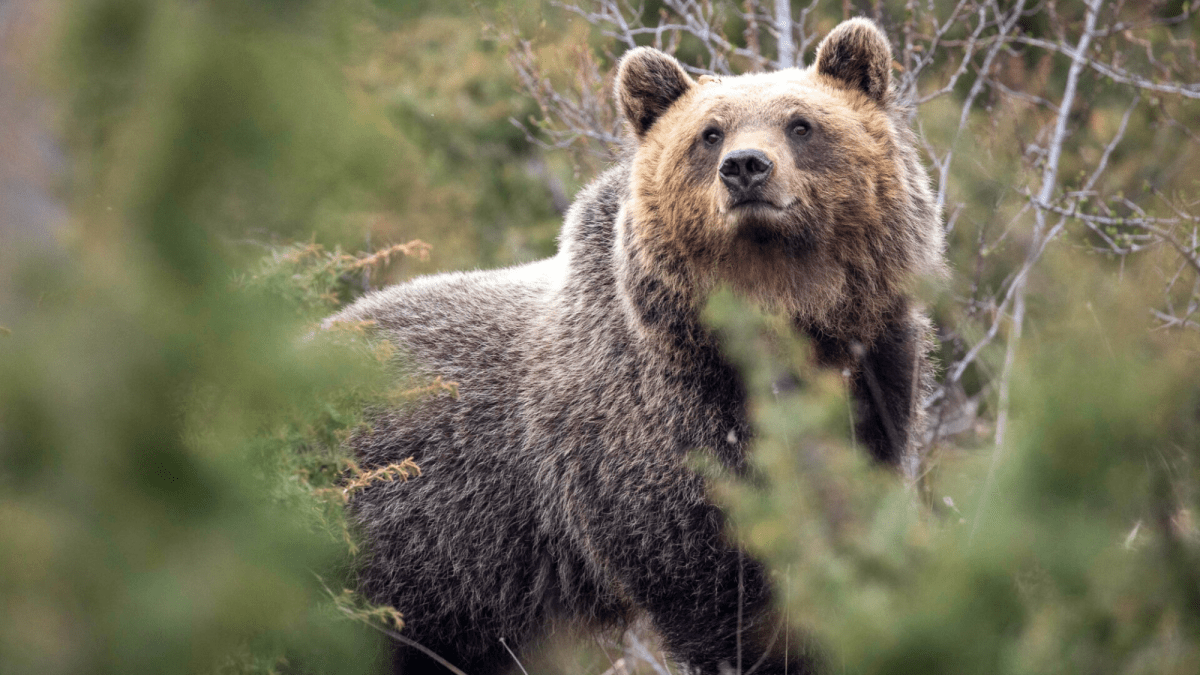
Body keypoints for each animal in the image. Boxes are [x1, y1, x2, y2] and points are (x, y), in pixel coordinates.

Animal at [326, 17, 944, 675]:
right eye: (709, 133)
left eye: (801, 123)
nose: (745, 166)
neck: (780, 324)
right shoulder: (654, 430)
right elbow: (715, 583)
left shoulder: (872, 370)